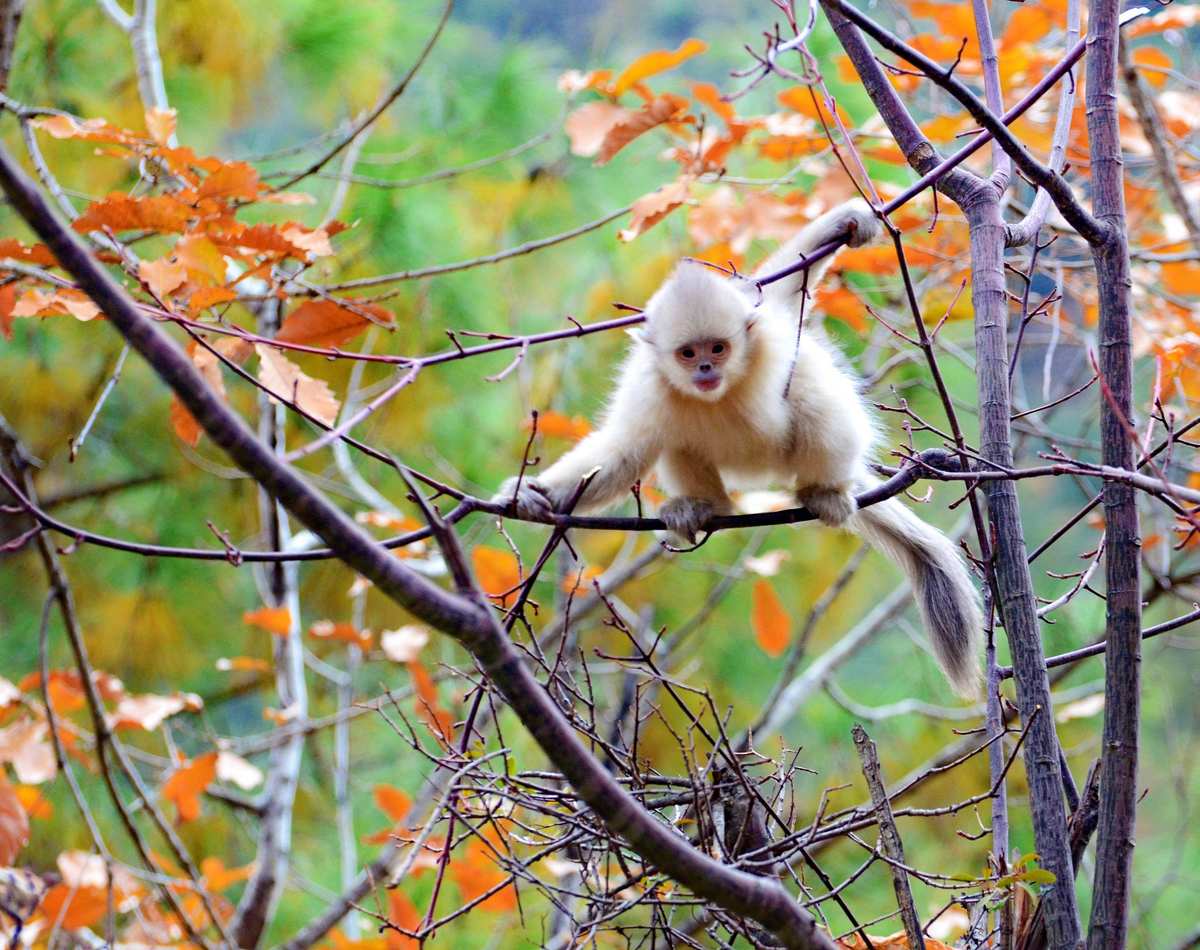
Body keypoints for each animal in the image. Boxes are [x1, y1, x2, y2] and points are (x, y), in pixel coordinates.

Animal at [494, 199, 984, 695]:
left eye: (718, 348)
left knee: (811, 391)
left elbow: (785, 295)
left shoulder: (768, 334)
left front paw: (847, 222)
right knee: (678, 440)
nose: (706, 368)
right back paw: (703, 506)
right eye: (688, 353)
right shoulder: (647, 385)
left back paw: (823, 491)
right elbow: (624, 450)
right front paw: (532, 495)